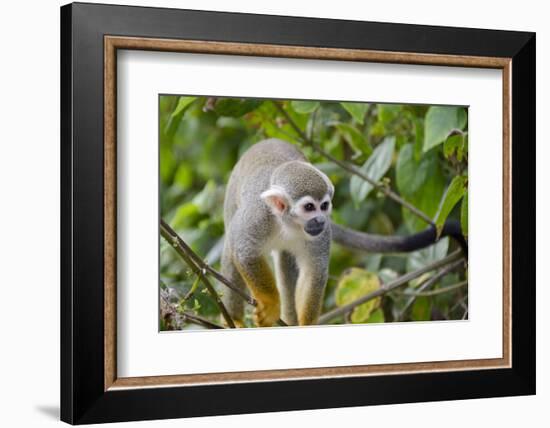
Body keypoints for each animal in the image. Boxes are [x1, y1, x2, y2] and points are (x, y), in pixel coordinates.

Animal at [222, 139, 468, 326]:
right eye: (309, 207)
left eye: (324, 205)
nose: (321, 220)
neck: (287, 223)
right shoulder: (257, 217)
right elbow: (244, 251)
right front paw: (270, 303)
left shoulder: (321, 234)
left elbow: (314, 271)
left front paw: (305, 324)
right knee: (231, 245)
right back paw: (234, 320)